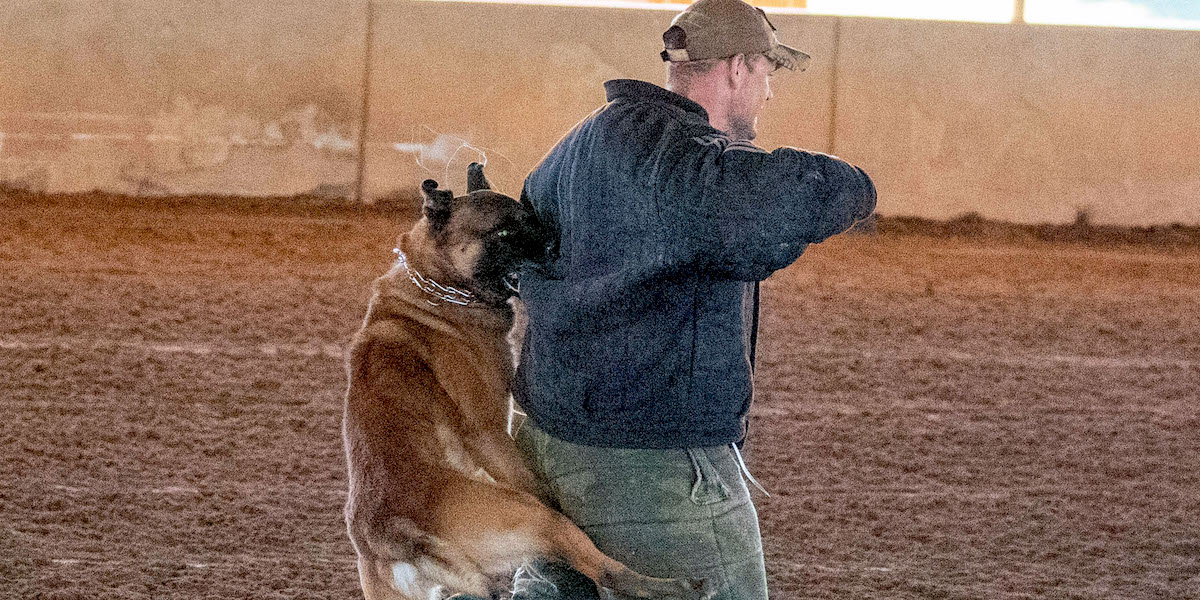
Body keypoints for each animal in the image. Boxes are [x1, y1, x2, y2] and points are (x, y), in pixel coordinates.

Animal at [340, 164, 710, 600]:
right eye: (502, 233)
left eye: (527, 217)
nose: (554, 244)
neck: (437, 290)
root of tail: (394, 535)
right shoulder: (490, 434)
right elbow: (534, 481)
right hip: (539, 520)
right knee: (606, 570)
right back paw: (681, 584)